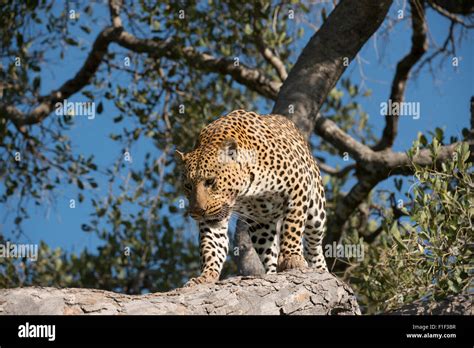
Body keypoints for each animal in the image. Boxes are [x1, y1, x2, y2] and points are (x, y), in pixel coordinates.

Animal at [176, 109, 328, 286]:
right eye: (188, 186)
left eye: (210, 181)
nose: (197, 212)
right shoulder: (215, 217)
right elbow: (212, 246)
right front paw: (206, 276)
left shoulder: (298, 186)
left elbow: (292, 226)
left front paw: (292, 258)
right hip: (261, 226)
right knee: (270, 253)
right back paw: (271, 274)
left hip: (316, 212)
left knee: (314, 244)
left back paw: (320, 269)